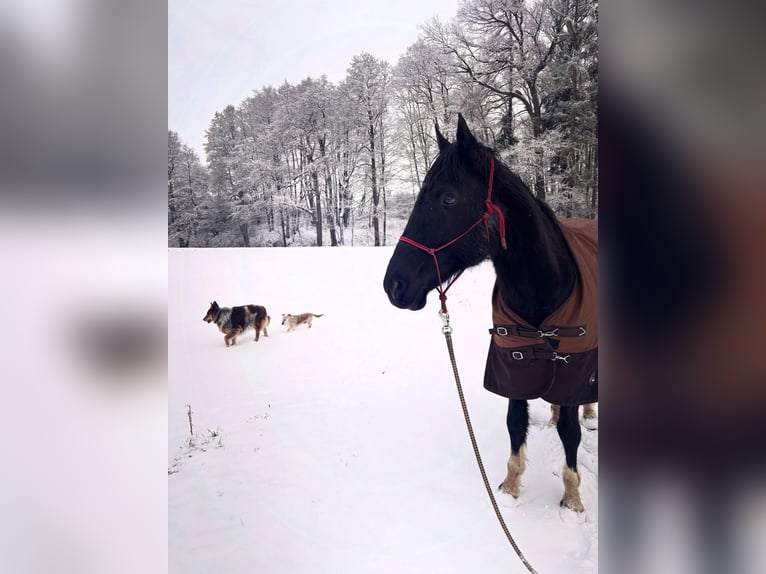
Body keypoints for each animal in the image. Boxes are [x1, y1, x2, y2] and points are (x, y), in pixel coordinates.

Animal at [383, 114, 598, 512]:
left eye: (448, 198)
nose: (394, 285)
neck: (545, 288)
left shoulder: (574, 363)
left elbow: (570, 432)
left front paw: (572, 496)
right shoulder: (514, 363)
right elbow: (515, 421)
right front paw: (510, 488)